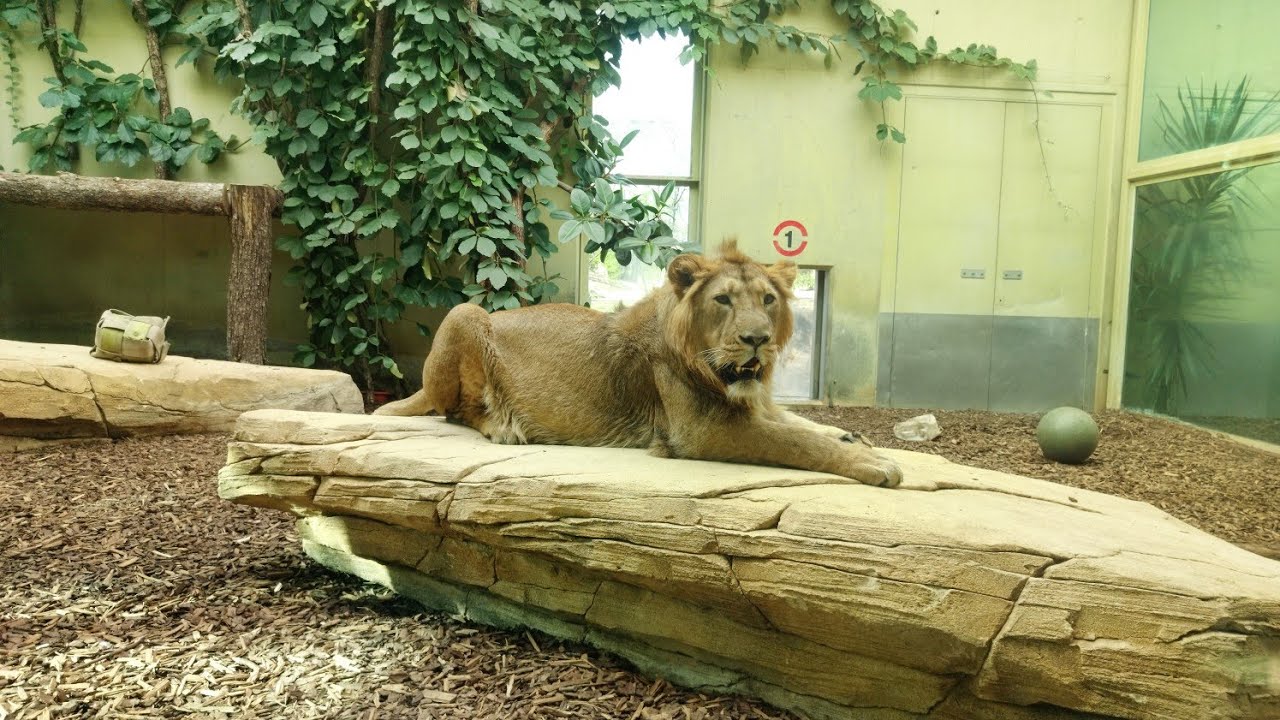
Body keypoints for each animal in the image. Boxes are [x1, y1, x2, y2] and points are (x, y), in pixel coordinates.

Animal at [374, 239, 902, 487]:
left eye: (768, 300)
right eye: (724, 300)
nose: (757, 340)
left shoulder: (753, 404)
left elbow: (798, 422)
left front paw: (851, 436)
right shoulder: (700, 432)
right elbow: (794, 441)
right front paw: (874, 462)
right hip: (465, 313)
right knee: (456, 411)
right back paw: (504, 426)